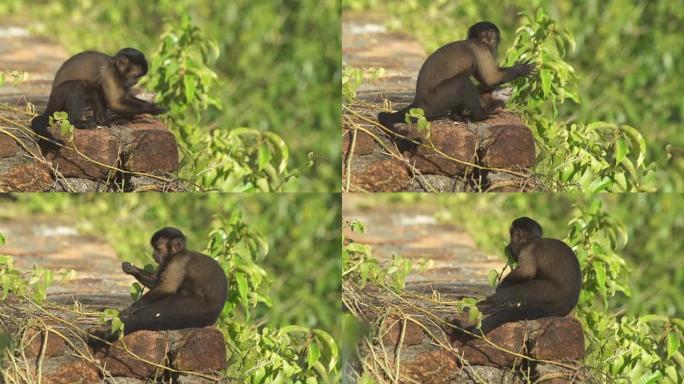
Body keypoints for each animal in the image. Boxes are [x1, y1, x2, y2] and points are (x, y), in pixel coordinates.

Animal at [31, 48, 168, 141]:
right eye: (136, 76)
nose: (136, 82)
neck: (114, 66)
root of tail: (51, 98)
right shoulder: (108, 73)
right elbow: (116, 102)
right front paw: (152, 108)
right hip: (59, 95)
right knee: (77, 86)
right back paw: (77, 122)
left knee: (95, 88)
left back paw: (102, 121)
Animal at [91, 228, 227, 340]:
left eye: (158, 249)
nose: (153, 254)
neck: (177, 253)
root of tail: (213, 316)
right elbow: (156, 283)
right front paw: (132, 269)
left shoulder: (177, 263)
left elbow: (166, 289)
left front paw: (130, 309)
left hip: (193, 307)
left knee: (154, 313)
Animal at [380, 21, 536, 132]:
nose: (497, 43)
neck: (479, 42)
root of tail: (418, 102)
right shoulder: (481, 50)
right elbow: (491, 79)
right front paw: (520, 69)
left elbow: (486, 81)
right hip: (436, 100)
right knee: (462, 81)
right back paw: (480, 115)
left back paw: (458, 116)